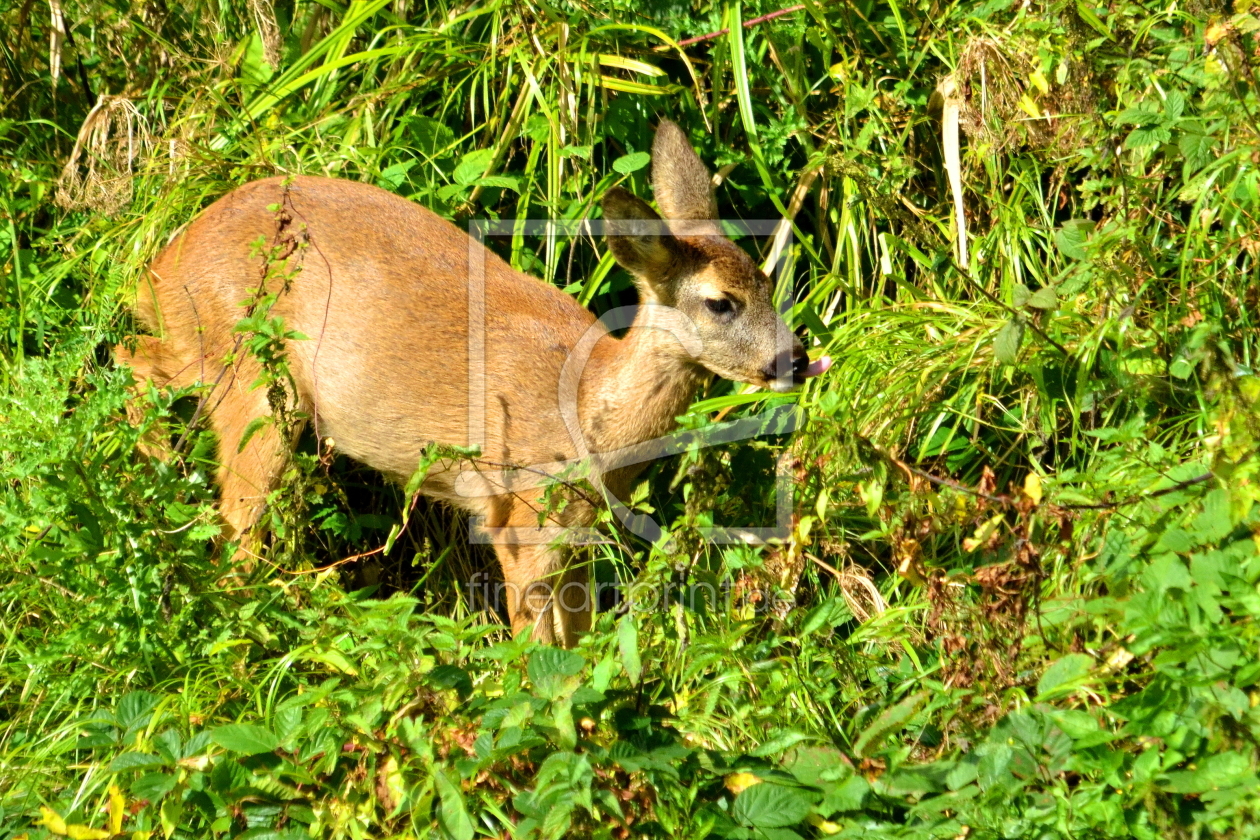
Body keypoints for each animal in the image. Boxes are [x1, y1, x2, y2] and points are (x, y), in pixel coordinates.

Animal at [115, 119, 826, 644]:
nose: (794, 358)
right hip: (251, 379)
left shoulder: (578, 531)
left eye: (769, 285)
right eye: (721, 303)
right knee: (229, 511)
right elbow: (539, 648)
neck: (588, 410)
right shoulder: (520, 515)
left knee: (136, 356)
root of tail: (165, 257)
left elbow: (580, 635)